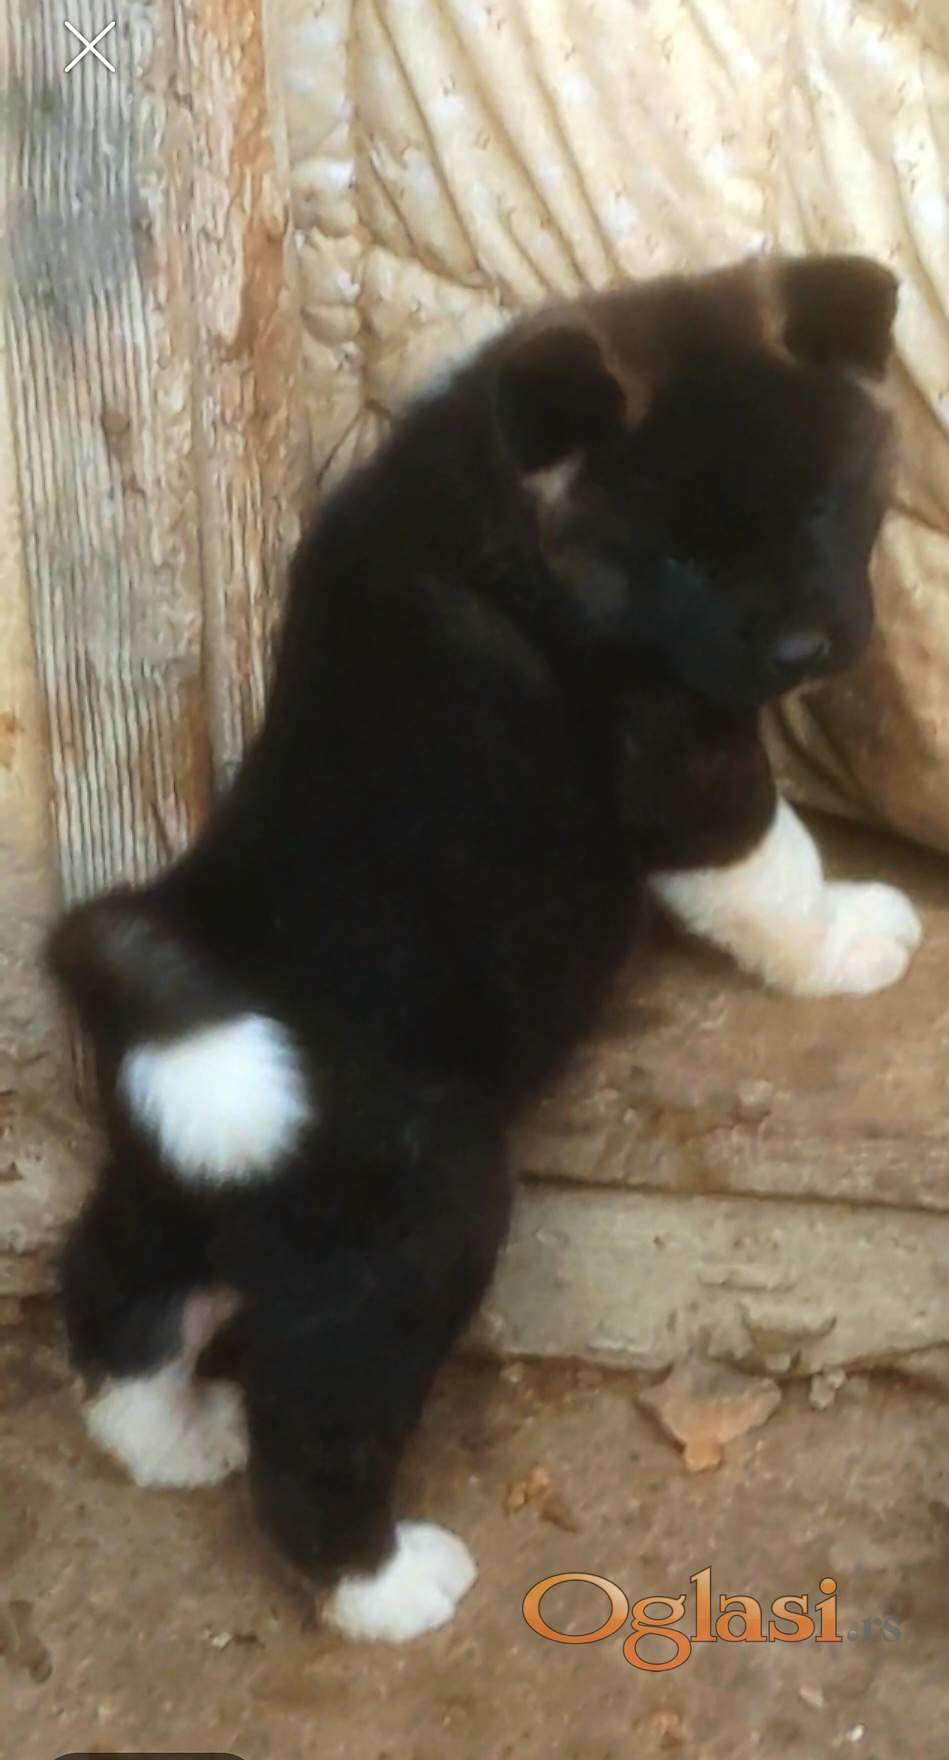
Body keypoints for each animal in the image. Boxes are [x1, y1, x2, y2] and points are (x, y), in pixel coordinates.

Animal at [48, 253, 920, 1643]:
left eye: (826, 508)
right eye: (683, 552)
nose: (800, 653)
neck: (514, 498)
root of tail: (172, 941)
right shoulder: (678, 750)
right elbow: (771, 866)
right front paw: (846, 940)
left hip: (183, 1163)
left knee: (118, 1290)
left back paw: (162, 1435)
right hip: (417, 1221)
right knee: (318, 1424)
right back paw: (381, 1581)